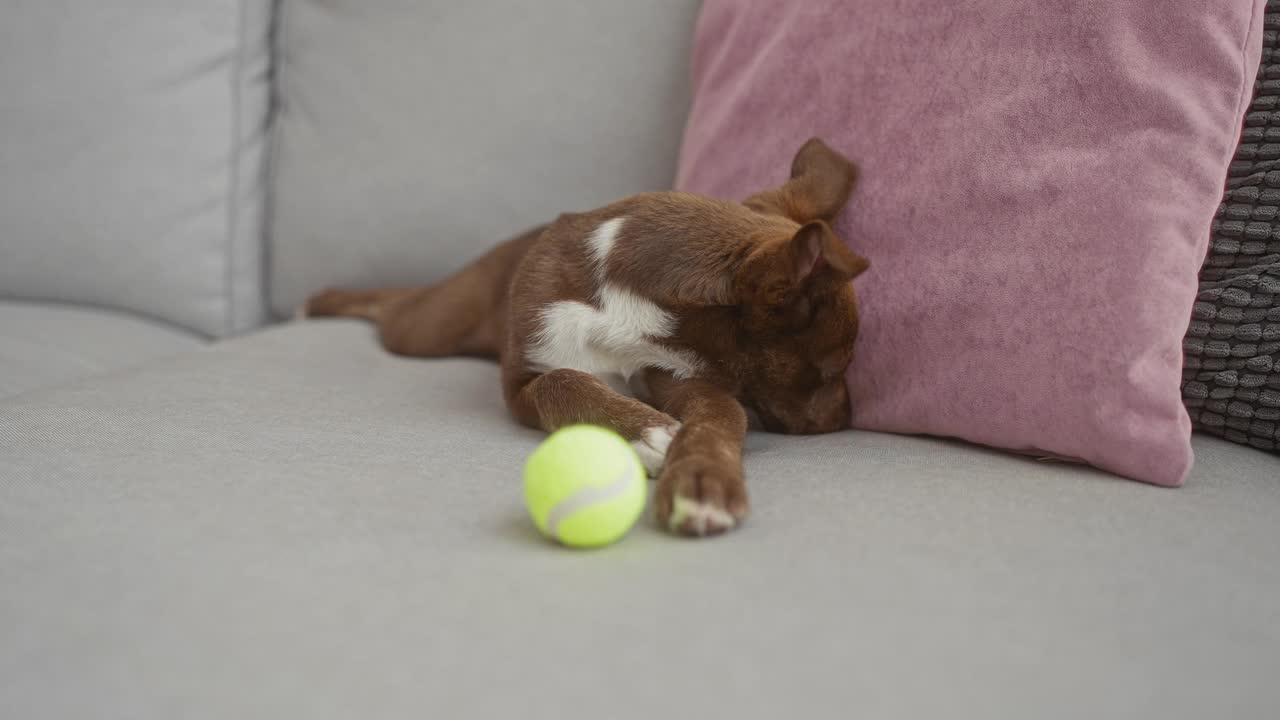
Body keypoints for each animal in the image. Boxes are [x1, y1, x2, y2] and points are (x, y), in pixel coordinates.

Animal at [305, 137, 875, 535]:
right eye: (832, 370)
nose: (847, 418)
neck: (630, 315)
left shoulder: (679, 376)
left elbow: (720, 417)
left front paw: (701, 480)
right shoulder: (522, 381)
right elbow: (564, 382)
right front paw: (649, 432)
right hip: (429, 328)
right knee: (393, 304)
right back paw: (322, 300)